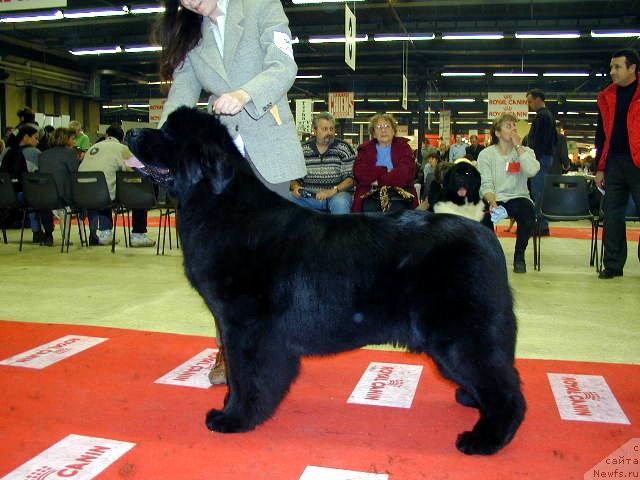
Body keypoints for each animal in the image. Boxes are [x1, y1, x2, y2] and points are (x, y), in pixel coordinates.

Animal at [126, 107, 524, 456]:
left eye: (168, 133)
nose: (130, 133)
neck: (219, 204)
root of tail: (484, 237)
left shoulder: (246, 326)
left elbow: (247, 375)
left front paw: (233, 418)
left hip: (460, 334)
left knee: (507, 390)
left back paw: (484, 439)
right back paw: (471, 401)